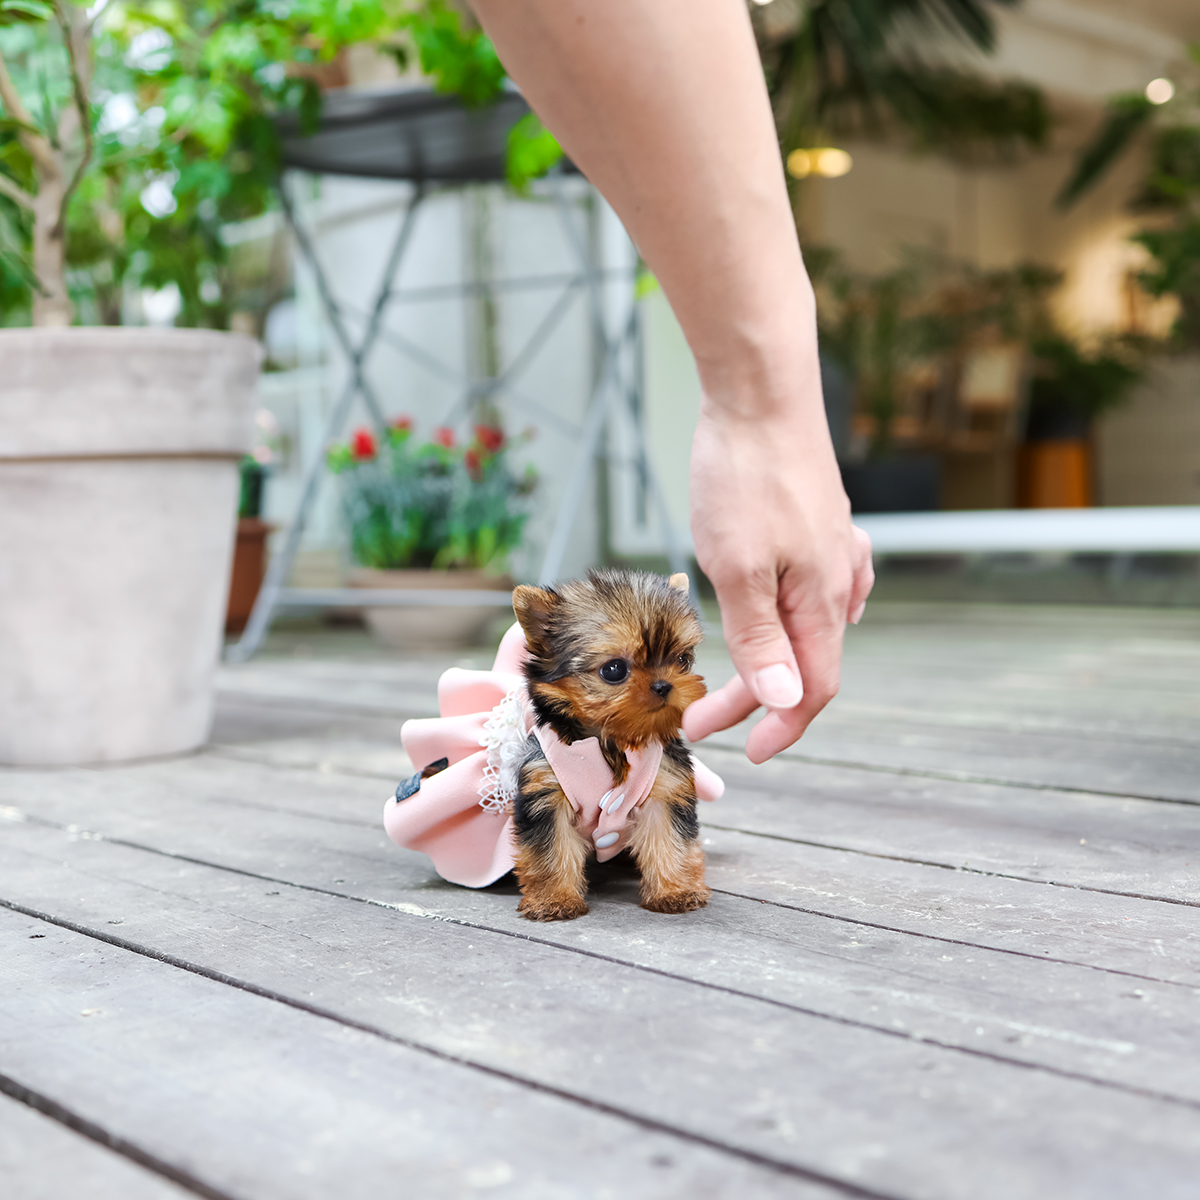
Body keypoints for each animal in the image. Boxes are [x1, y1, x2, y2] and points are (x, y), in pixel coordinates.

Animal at [508, 568, 710, 916]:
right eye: (614, 669)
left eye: (682, 660)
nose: (664, 685)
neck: (613, 741)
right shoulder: (545, 789)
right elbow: (550, 849)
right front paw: (554, 899)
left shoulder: (665, 783)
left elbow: (668, 838)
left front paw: (675, 890)